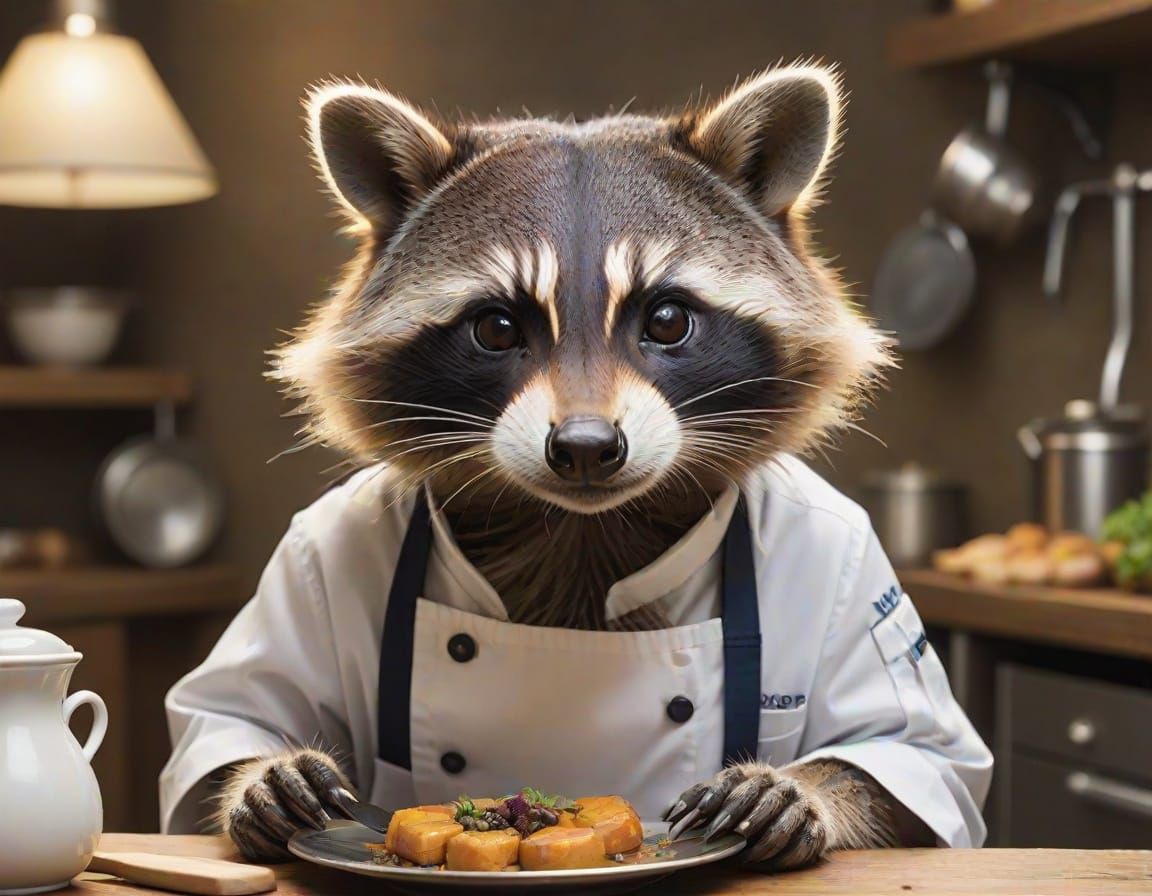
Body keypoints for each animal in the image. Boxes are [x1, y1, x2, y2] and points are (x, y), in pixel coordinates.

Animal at [218, 64, 919, 867]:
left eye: (667, 320)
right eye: (496, 327)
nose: (586, 447)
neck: (581, 523)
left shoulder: (844, 550)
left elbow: (899, 752)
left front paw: (800, 788)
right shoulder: (322, 544)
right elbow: (241, 713)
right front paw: (265, 774)